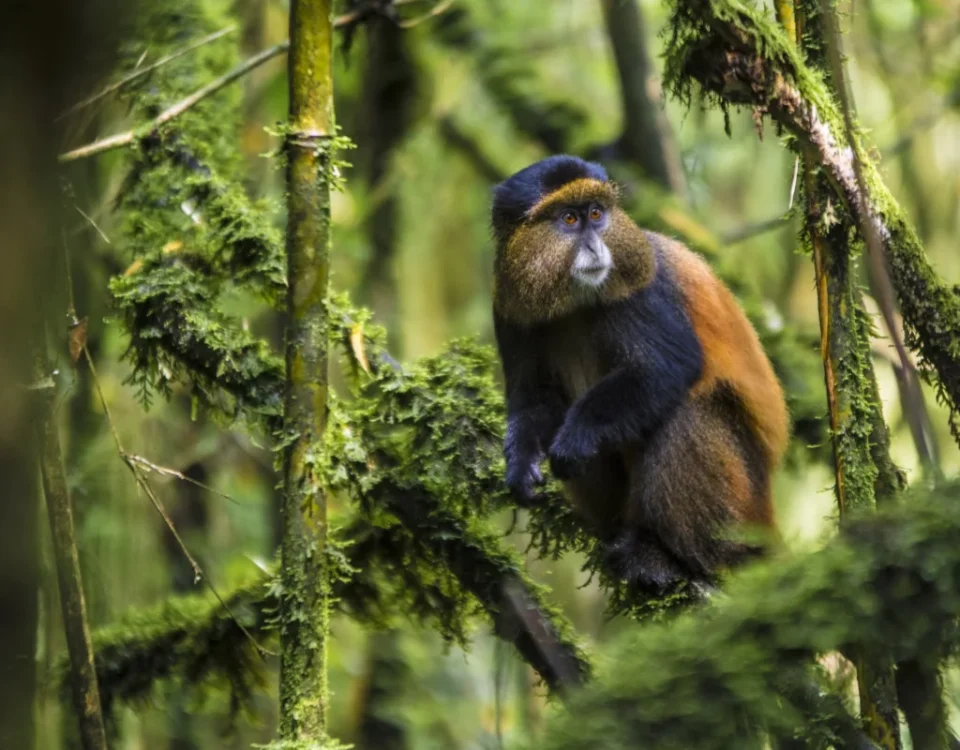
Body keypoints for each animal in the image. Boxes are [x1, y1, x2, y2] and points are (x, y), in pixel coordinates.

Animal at [490, 155, 789, 592]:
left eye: (596, 214)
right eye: (569, 219)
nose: (596, 246)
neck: (574, 301)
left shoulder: (641, 289)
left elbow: (665, 369)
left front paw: (575, 438)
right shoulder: (509, 308)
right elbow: (534, 397)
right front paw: (521, 463)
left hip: (742, 505)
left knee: (687, 411)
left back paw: (665, 556)